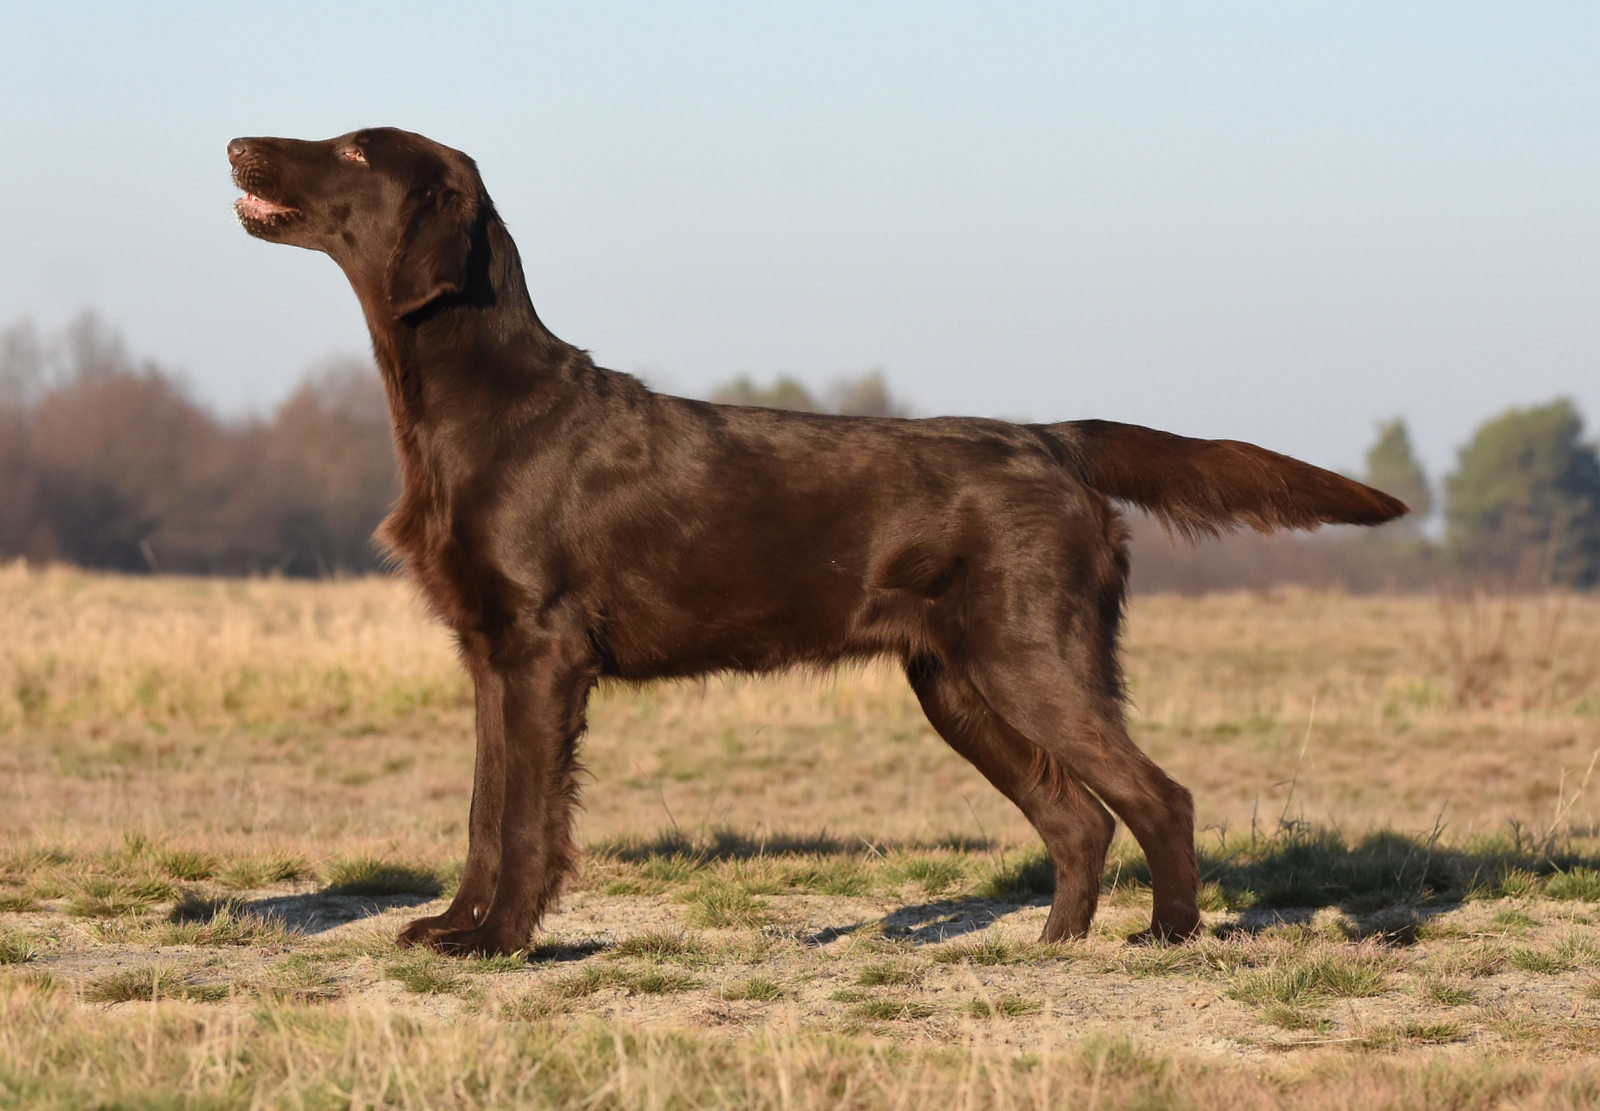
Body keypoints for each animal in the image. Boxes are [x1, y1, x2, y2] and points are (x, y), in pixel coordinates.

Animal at [229, 127, 1405, 955]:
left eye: (351, 149)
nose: (237, 142)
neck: (481, 400)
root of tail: (1047, 437)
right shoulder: (489, 655)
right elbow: (483, 809)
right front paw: (455, 926)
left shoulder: (540, 652)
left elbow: (523, 818)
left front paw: (504, 940)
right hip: (957, 682)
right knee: (1078, 820)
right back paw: (1047, 946)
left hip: (1031, 660)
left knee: (1158, 796)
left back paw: (1164, 937)